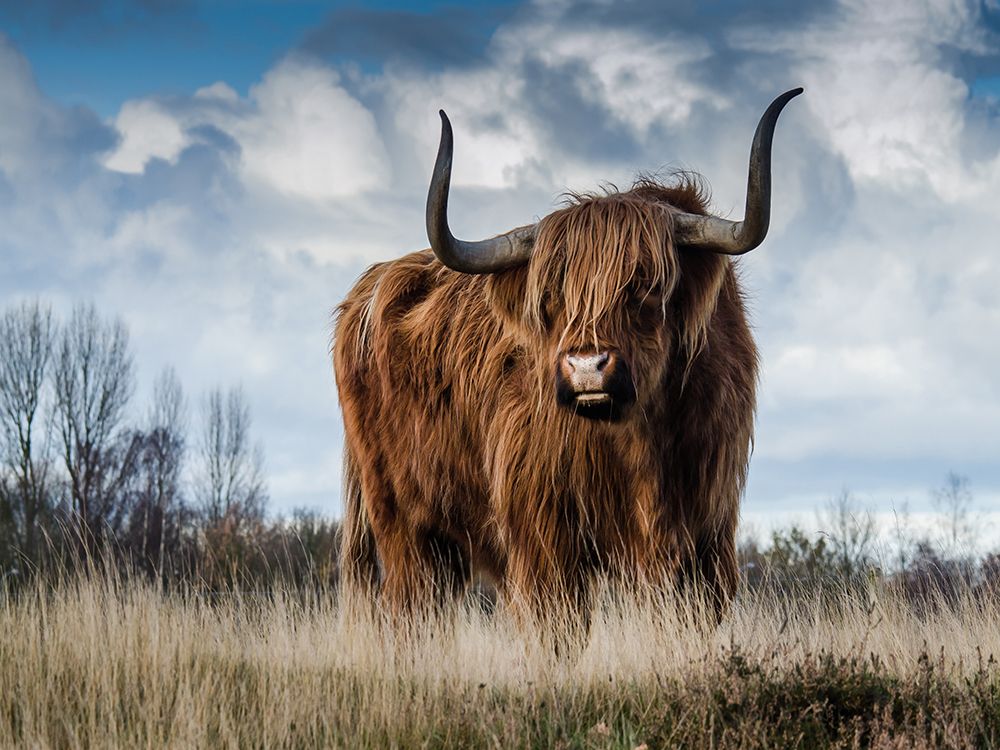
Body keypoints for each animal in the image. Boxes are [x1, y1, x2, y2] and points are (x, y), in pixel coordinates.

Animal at [333, 89, 802, 624]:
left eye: (644, 285)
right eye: (551, 296)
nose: (586, 368)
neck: (640, 443)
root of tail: (369, 286)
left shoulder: (707, 535)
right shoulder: (544, 536)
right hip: (402, 525)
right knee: (409, 609)